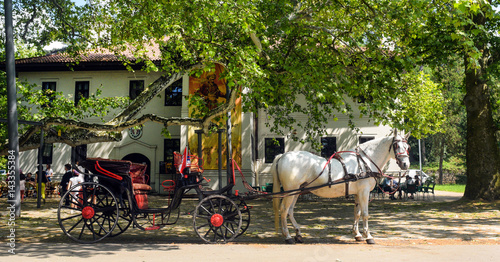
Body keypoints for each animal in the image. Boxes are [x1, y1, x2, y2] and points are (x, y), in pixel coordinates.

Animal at [274, 130, 410, 244]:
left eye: (407, 147)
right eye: (396, 146)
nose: (405, 164)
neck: (365, 162)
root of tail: (283, 156)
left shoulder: (358, 193)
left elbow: (357, 213)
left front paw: (357, 235)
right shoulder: (364, 192)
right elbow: (365, 214)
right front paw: (368, 236)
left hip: (296, 192)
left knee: (290, 211)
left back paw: (298, 234)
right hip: (289, 192)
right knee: (283, 210)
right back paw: (288, 236)